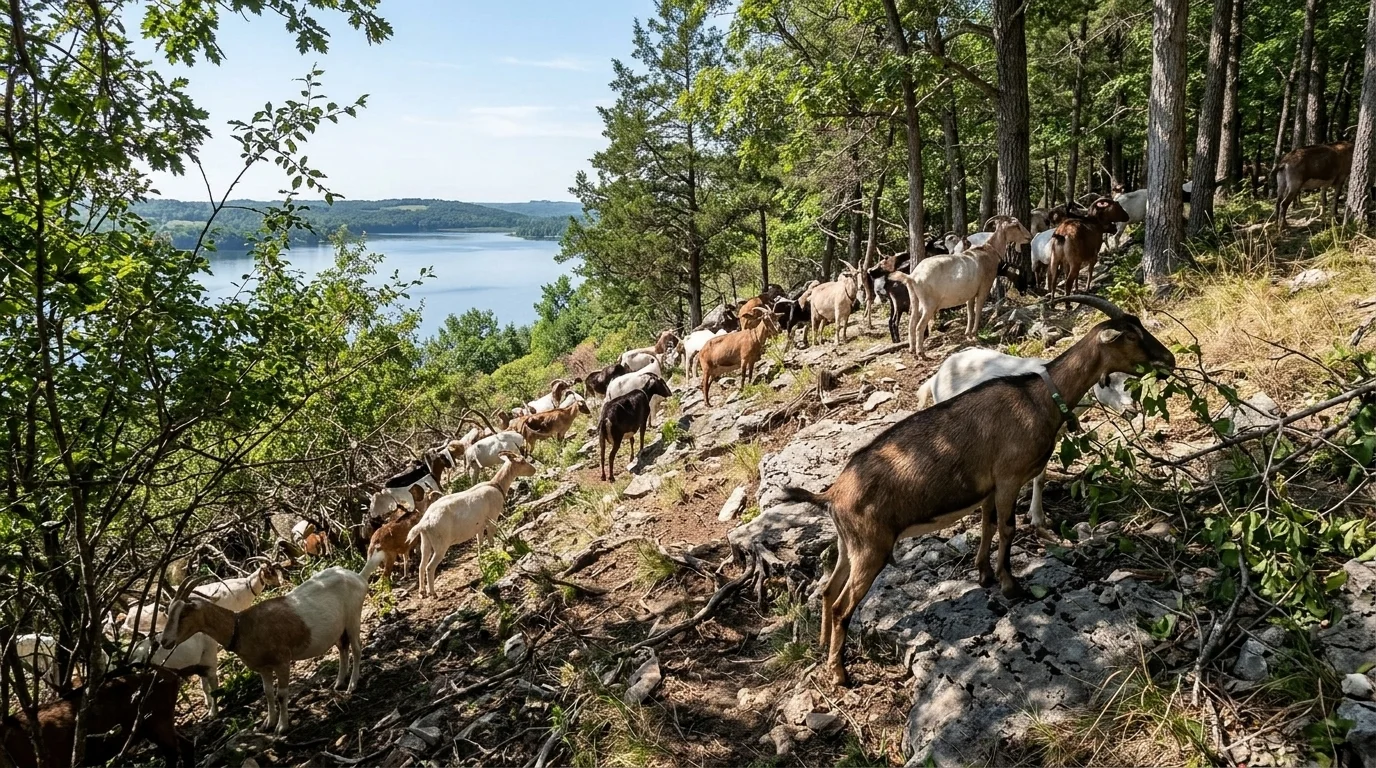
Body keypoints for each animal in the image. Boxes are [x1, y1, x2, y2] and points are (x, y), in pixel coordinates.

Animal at [159, 557, 375, 734]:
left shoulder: (282, 662)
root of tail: (358, 577)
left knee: (357, 649)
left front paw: (282, 727)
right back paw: (339, 682)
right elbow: (268, 694)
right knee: (343, 648)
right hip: (339, 628)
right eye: (169, 613)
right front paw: (268, 723)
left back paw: (352, 685)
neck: (241, 626)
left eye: (183, 614)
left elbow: (281, 694)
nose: (164, 641)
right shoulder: (263, 667)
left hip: (353, 618)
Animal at [407, 453, 537, 598]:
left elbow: (480, 543)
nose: (534, 470)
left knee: (421, 565)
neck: (496, 485)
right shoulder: (492, 519)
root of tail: (425, 521)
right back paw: (433, 593)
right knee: (430, 567)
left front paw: (483, 559)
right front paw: (495, 554)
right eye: (522, 461)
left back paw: (422, 592)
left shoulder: (479, 526)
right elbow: (490, 539)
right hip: (440, 543)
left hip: (426, 541)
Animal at [888, 216, 1032, 357]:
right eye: (1016, 225)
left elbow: (970, 312)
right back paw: (921, 353)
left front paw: (968, 333)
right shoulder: (984, 288)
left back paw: (912, 350)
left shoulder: (970, 294)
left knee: (911, 324)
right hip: (929, 304)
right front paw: (975, 333)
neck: (988, 252)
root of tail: (913, 277)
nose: (1029, 236)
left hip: (915, 299)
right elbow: (978, 310)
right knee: (919, 326)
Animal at [916, 347, 1137, 533]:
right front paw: (1037, 519)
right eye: (1106, 381)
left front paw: (1036, 515)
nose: (1132, 410)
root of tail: (936, 376)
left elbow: (1039, 478)